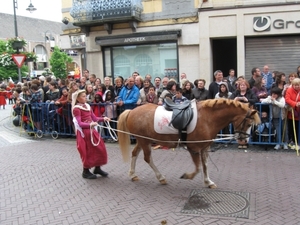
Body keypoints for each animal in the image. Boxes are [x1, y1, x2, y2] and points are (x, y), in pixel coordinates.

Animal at [117, 98, 260, 188]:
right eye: (249, 123)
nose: (244, 140)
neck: (208, 118)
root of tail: (132, 111)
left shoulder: (204, 148)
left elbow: (205, 166)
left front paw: (208, 182)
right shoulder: (194, 148)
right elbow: (198, 168)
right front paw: (187, 176)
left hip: (142, 141)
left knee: (135, 153)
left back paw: (133, 175)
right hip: (144, 141)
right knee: (147, 158)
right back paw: (161, 177)